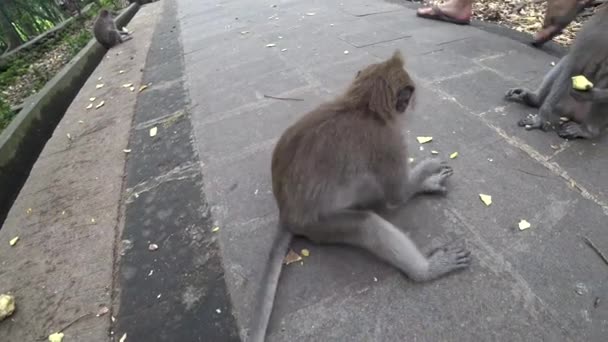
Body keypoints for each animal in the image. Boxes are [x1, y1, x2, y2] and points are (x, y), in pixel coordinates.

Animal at [246, 48, 470, 342]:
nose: (415, 104)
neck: (362, 106)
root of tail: (286, 214)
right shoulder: (389, 141)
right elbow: (398, 194)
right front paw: (427, 170)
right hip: (322, 227)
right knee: (367, 222)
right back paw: (426, 271)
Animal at [504, 2, 608, 139]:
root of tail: (572, 114)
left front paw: (589, 94)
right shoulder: (596, 27)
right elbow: (573, 64)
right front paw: (541, 117)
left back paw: (587, 131)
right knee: (566, 61)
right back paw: (535, 99)